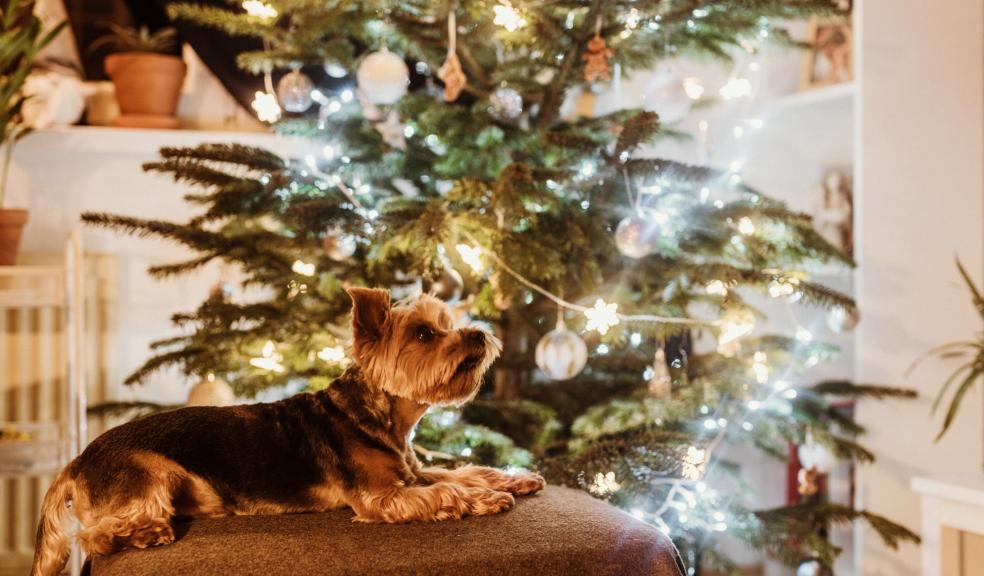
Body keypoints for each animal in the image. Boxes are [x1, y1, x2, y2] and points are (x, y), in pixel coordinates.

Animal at [30, 288, 540, 576]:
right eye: (424, 334)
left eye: (448, 324)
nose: (479, 334)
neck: (382, 414)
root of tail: (76, 461)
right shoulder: (382, 497)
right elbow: (446, 493)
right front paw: (487, 499)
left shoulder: (412, 472)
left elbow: (464, 472)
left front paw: (515, 479)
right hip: (152, 473)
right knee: (93, 537)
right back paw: (147, 534)